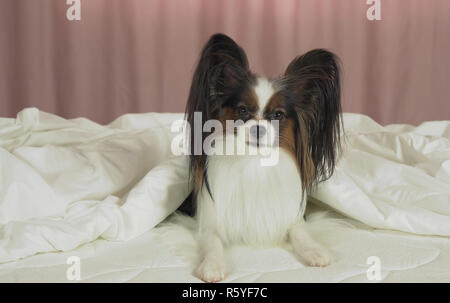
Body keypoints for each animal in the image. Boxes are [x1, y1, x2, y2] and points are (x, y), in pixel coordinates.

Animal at [183, 33, 342, 282]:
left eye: (278, 115)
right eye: (242, 110)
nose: (258, 129)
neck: (254, 160)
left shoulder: (292, 216)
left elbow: (300, 231)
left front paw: (315, 251)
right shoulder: (208, 221)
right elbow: (212, 242)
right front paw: (212, 265)